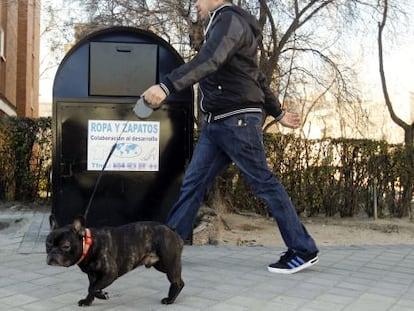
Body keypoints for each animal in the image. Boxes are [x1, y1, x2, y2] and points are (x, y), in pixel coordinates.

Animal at [45, 217, 184, 308]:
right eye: (48, 244)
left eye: (66, 246)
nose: (52, 254)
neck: (88, 245)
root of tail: (172, 230)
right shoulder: (93, 275)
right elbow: (92, 287)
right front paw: (89, 300)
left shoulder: (110, 273)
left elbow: (93, 287)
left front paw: (100, 295)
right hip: (161, 265)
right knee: (179, 281)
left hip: (169, 265)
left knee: (177, 282)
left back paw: (170, 300)